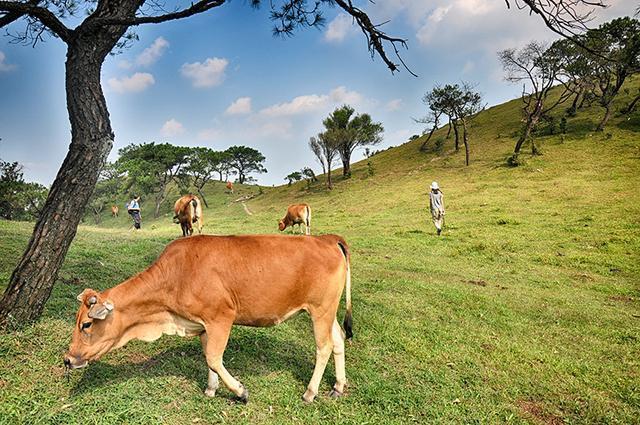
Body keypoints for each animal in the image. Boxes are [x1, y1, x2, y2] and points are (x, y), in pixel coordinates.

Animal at [63, 234, 356, 402]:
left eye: (86, 324)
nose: (67, 358)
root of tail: (327, 239)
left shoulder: (221, 317)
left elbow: (214, 358)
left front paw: (239, 391)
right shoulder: (203, 324)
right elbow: (209, 358)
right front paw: (211, 389)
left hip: (320, 309)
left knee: (323, 347)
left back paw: (311, 392)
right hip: (327, 310)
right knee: (339, 339)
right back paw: (338, 386)